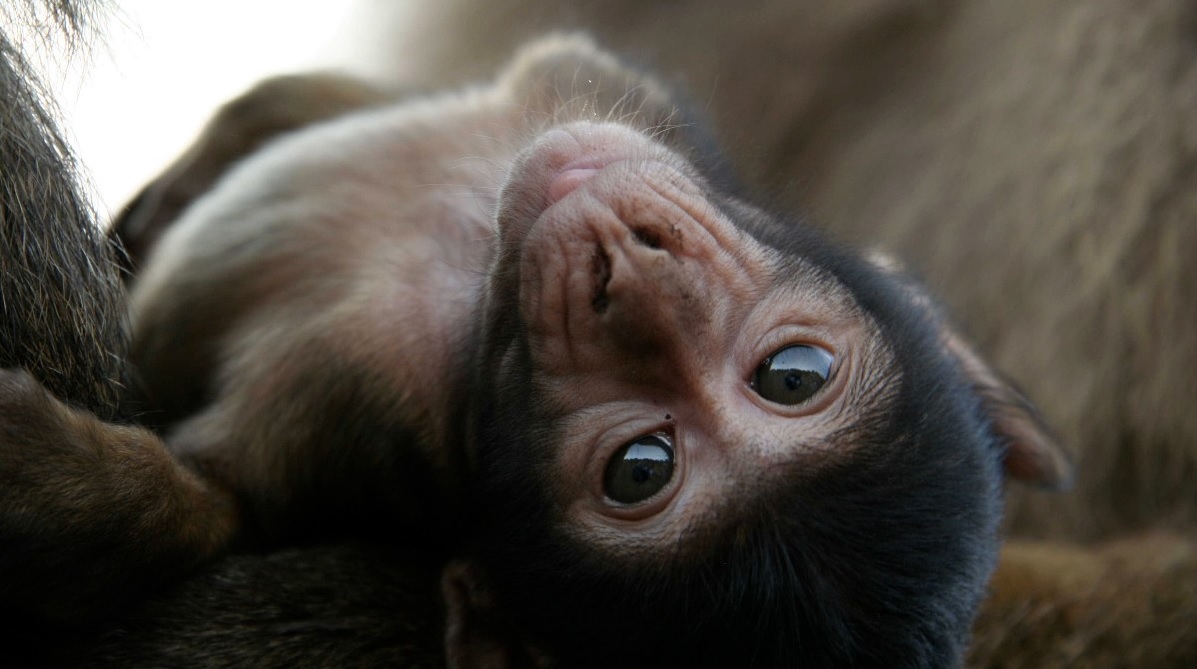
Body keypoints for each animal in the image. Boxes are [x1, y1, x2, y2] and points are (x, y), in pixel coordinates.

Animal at [0, 35, 1072, 669]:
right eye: (794, 376)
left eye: (639, 470)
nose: (625, 275)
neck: (481, 277)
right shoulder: (604, 90)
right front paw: (232, 137)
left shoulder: (350, 417)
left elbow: (212, 502)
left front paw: (57, 482)